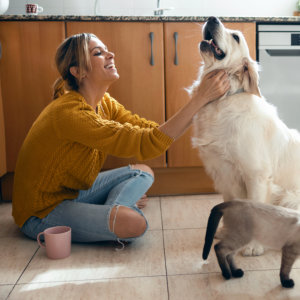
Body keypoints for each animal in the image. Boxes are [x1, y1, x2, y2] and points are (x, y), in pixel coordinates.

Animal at [191, 16, 300, 255]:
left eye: (236, 37)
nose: (212, 19)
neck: (223, 99)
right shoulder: (224, 173)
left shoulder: (256, 175)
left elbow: (256, 209)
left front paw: (253, 247)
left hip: (290, 197)